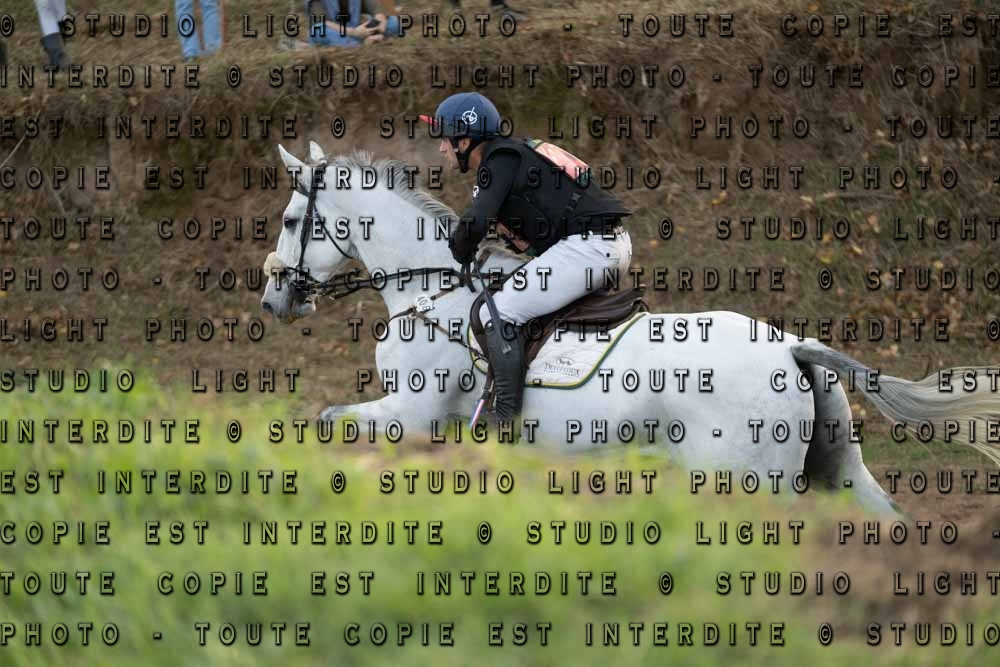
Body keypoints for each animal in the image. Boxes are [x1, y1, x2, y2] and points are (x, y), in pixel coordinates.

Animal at [261, 142, 1000, 518]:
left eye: (295, 220)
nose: (273, 298)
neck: (428, 284)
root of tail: (793, 347)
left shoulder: (411, 413)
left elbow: (325, 421)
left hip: (740, 480)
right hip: (839, 466)